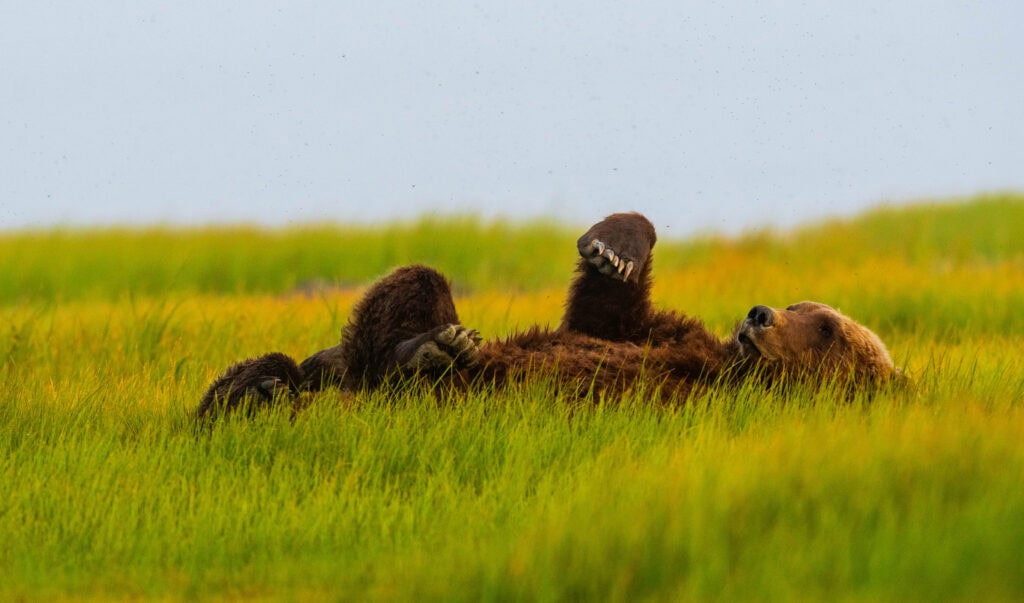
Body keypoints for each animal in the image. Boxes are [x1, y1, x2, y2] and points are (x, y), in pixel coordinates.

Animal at [196, 212, 899, 417]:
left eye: (829, 330)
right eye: (799, 304)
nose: (760, 314)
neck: (730, 370)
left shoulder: (686, 388)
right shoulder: (674, 337)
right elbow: (607, 315)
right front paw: (614, 247)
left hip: (369, 390)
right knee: (415, 284)